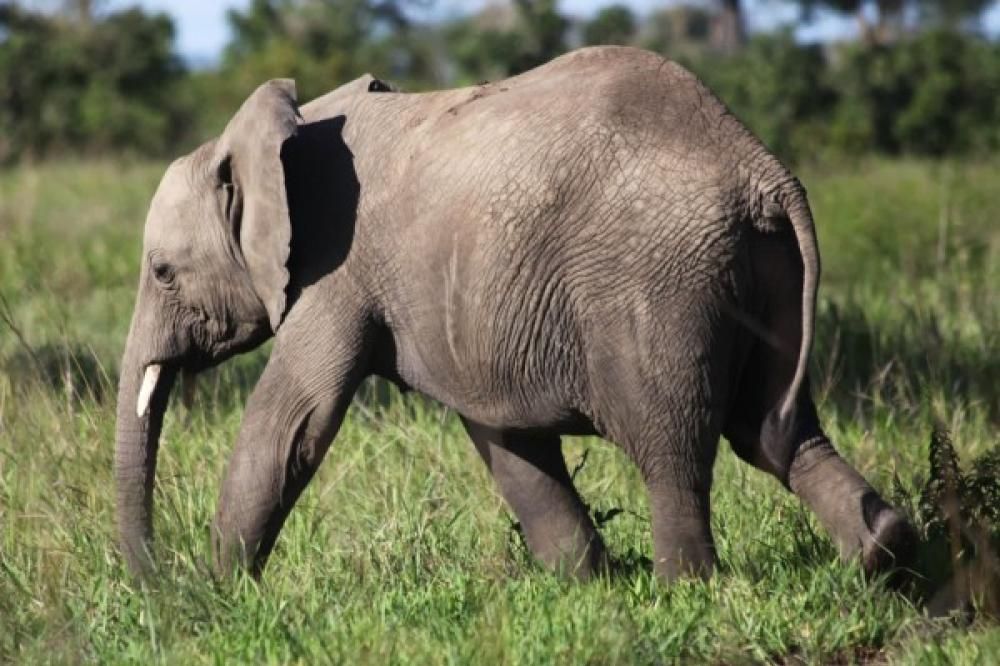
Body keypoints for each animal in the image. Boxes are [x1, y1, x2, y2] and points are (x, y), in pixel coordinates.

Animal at [115, 45, 915, 582]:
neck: (283, 126)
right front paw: (584, 583)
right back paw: (883, 552)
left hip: (660, 286)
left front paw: (218, 594)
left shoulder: (332, 272)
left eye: (162, 272)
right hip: (758, 272)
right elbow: (504, 438)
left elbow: (293, 424)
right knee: (777, 430)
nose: (158, 584)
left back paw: (685, 588)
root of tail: (762, 170)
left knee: (673, 446)